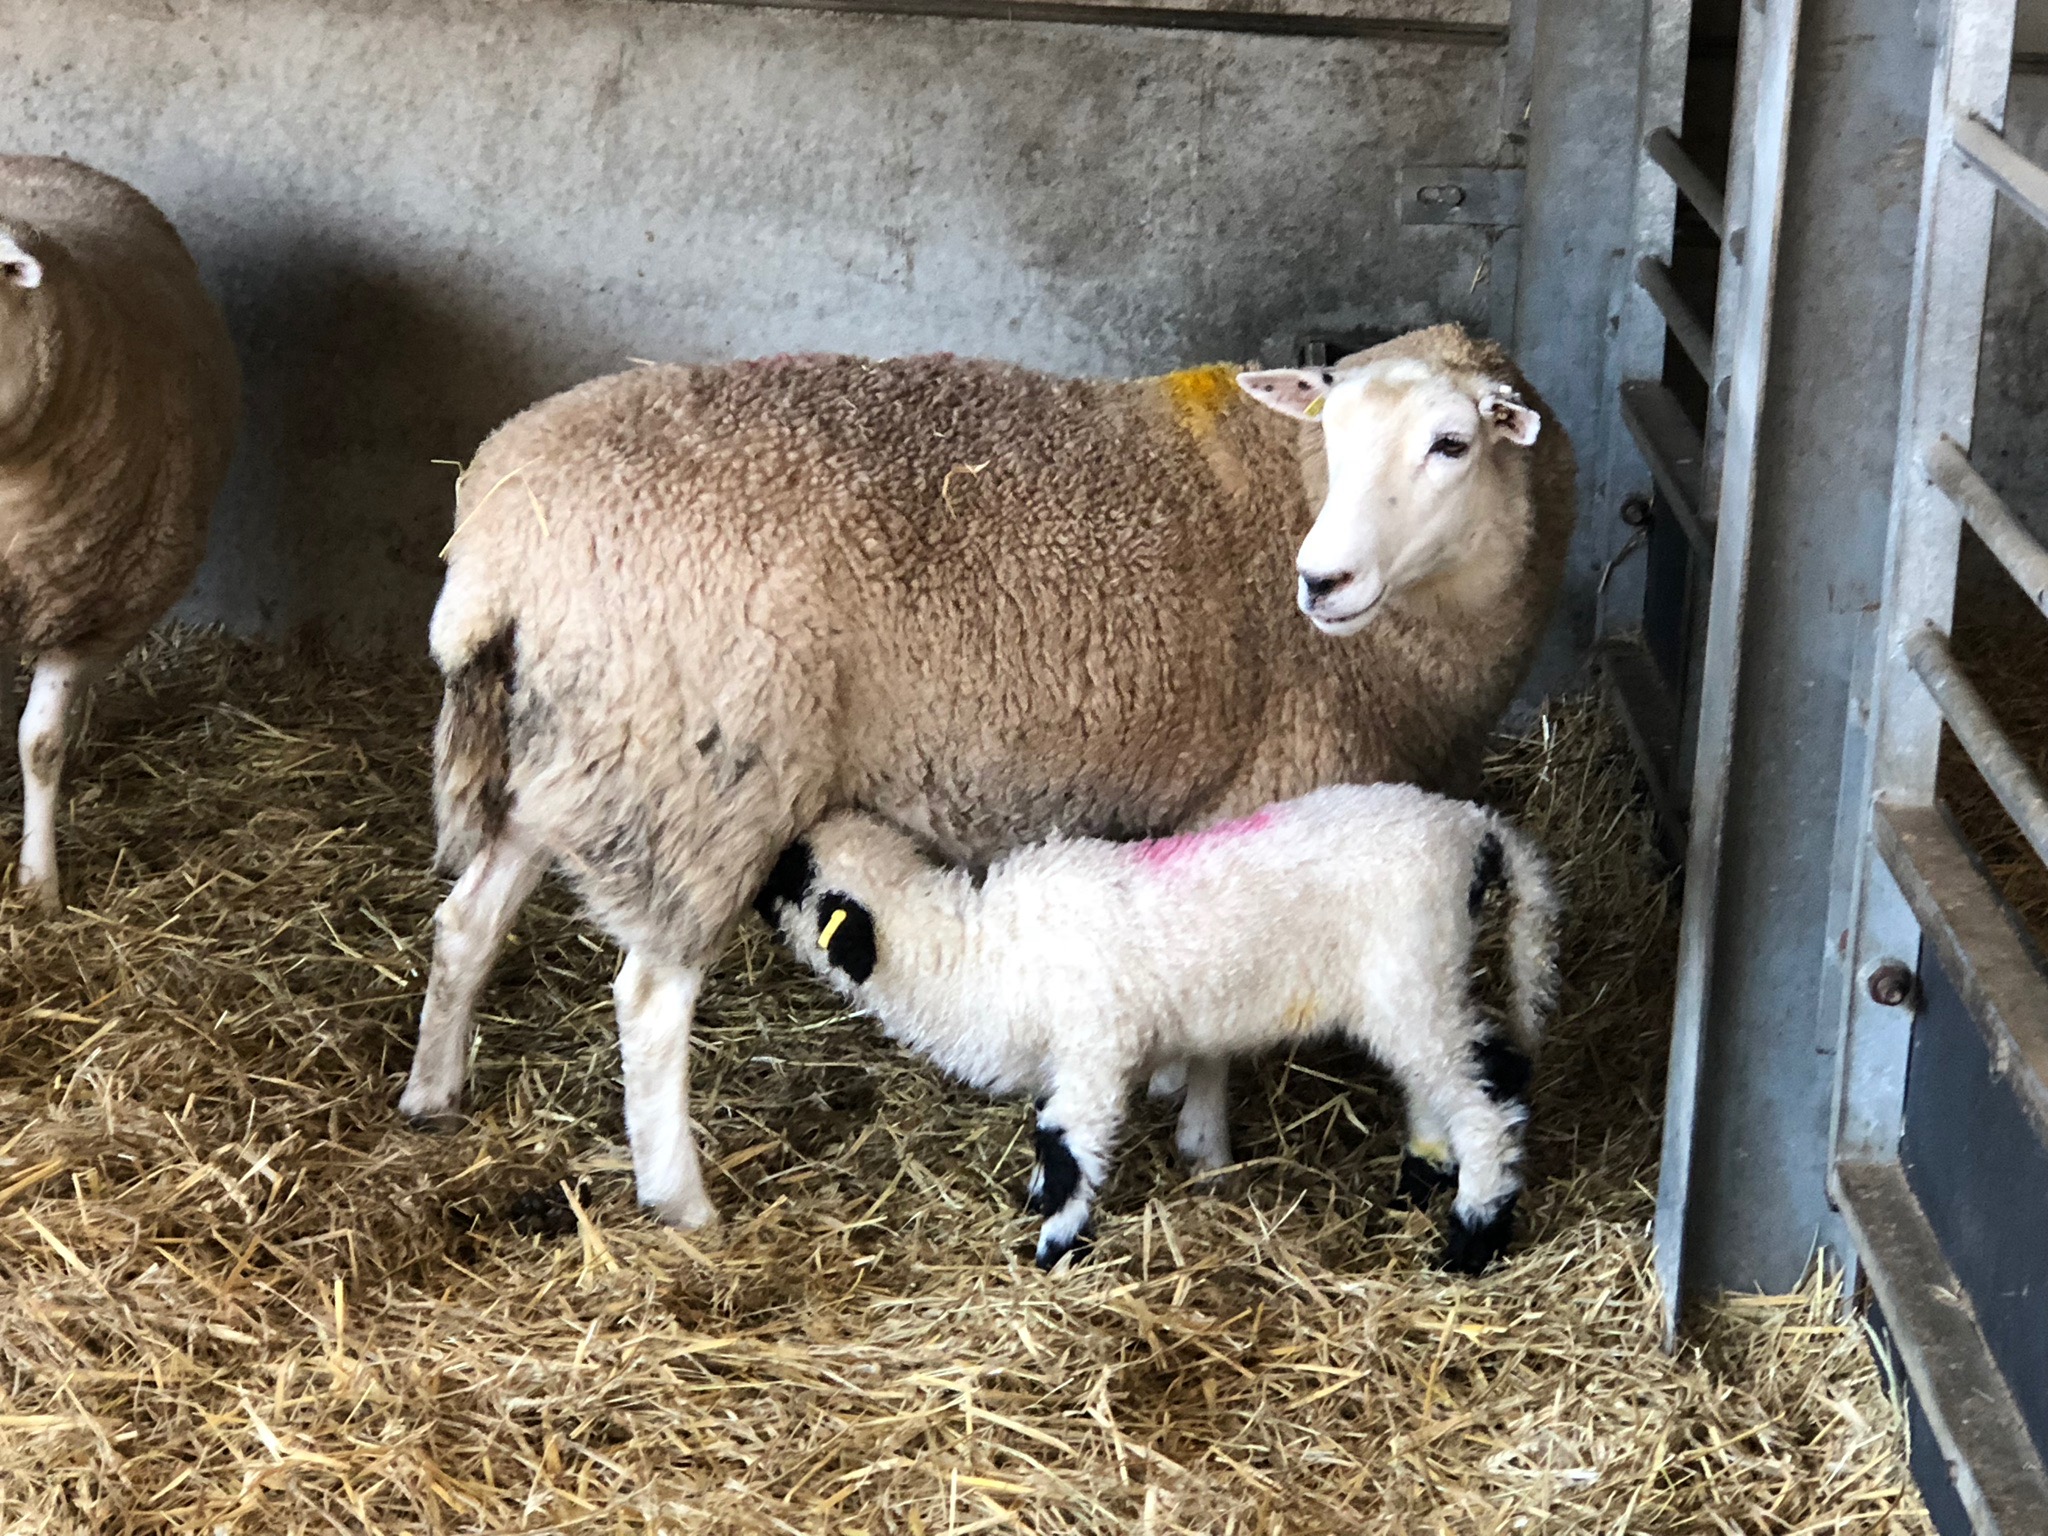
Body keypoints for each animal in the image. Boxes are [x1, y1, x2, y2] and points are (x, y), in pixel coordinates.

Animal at [761, 782, 1556, 1277]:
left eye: (793, 874)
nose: (758, 880)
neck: (978, 958)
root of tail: (1475, 830)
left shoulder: (1094, 1052)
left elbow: (1068, 1147)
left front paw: (1053, 1249)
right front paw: (1037, 1202)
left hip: (1411, 977)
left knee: (1488, 1098)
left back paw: (1472, 1239)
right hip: (1415, 985)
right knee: (1435, 1083)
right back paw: (1422, 1178)